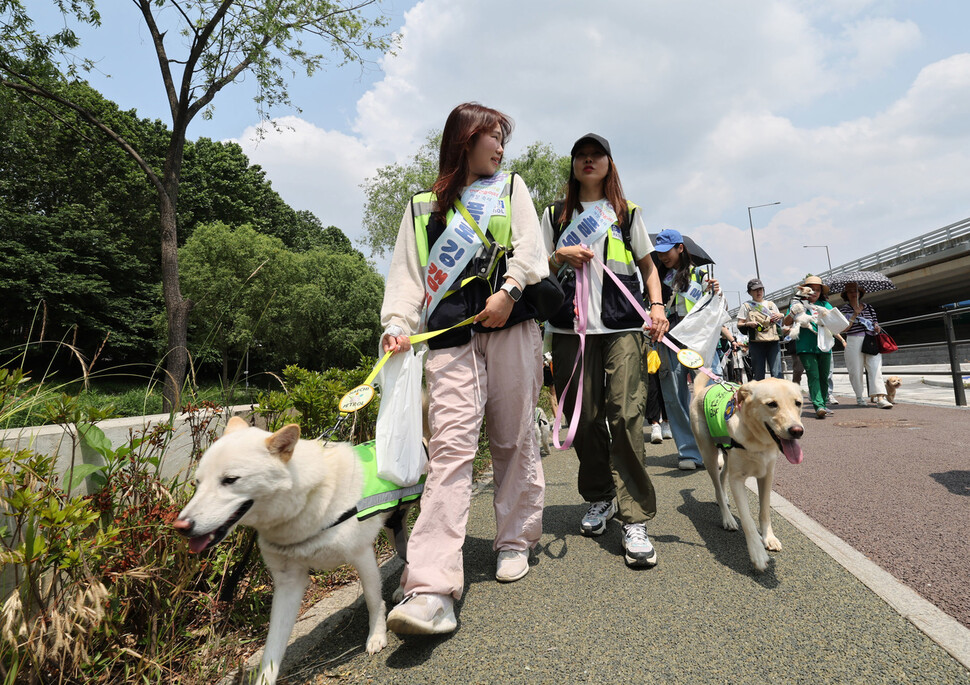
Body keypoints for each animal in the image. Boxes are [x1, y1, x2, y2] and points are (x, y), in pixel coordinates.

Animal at [175, 416, 416, 684]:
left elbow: (374, 601)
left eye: (230, 480)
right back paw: (403, 588)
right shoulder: (288, 582)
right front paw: (265, 679)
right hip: (393, 528)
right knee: (408, 552)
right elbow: (273, 646)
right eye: (197, 482)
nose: (181, 526)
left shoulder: (362, 555)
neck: (308, 501)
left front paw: (376, 636)